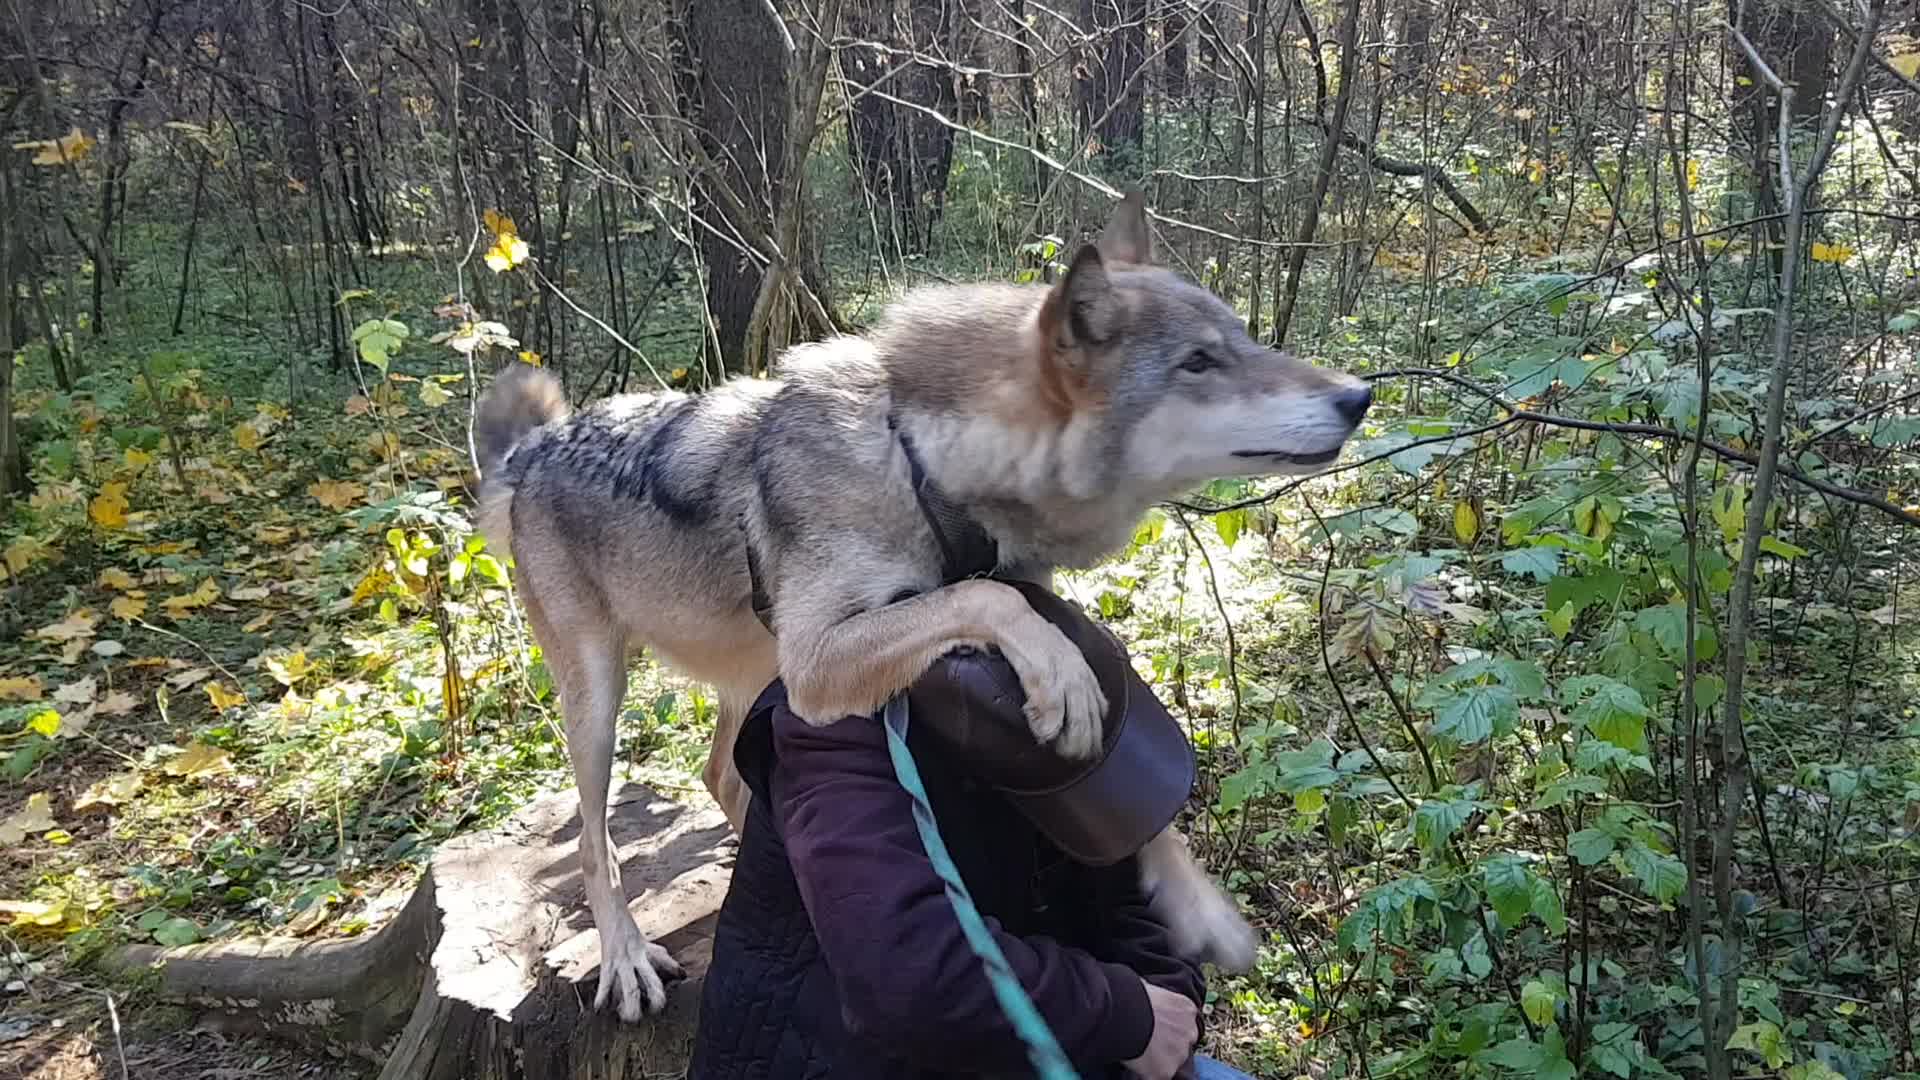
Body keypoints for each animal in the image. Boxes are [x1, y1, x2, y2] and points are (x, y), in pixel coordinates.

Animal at [476, 189, 1382, 1022]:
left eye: (1245, 340)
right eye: (1197, 363)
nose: (1360, 396)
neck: (917, 458)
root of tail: (531, 447)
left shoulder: (915, 628)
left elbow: (1131, 793)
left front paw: (1200, 907)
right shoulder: (820, 659)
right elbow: (984, 598)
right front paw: (1065, 685)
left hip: (755, 672)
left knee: (718, 774)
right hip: (603, 702)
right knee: (595, 843)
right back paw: (626, 957)